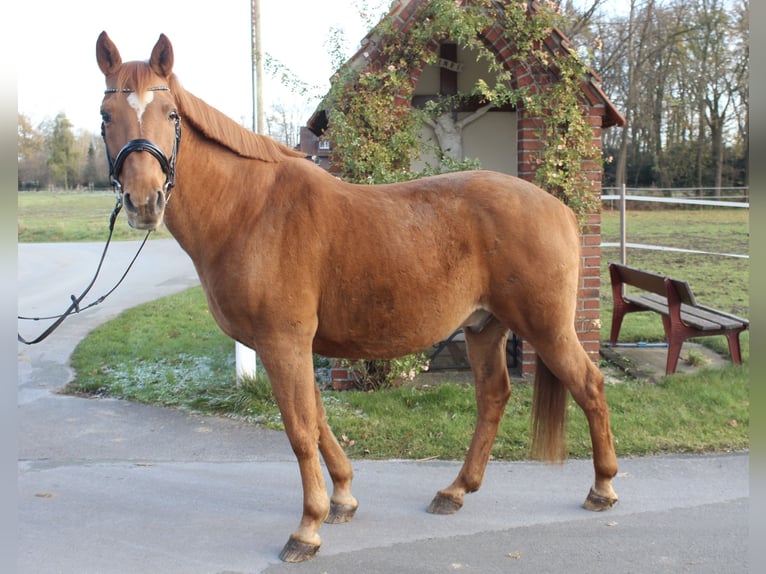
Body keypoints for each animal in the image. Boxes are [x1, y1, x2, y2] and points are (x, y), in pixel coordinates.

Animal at [96, 31, 618, 563]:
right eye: (105, 115)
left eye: (170, 114)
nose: (144, 201)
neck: (250, 209)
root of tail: (558, 207)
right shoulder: (292, 347)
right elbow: (319, 420)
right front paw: (342, 497)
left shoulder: (283, 344)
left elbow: (300, 431)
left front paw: (307, 527)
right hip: (483, 328)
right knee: (493, 396)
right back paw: (454, 491)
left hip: (547, 329)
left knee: (590, 387)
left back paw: (602, 488)